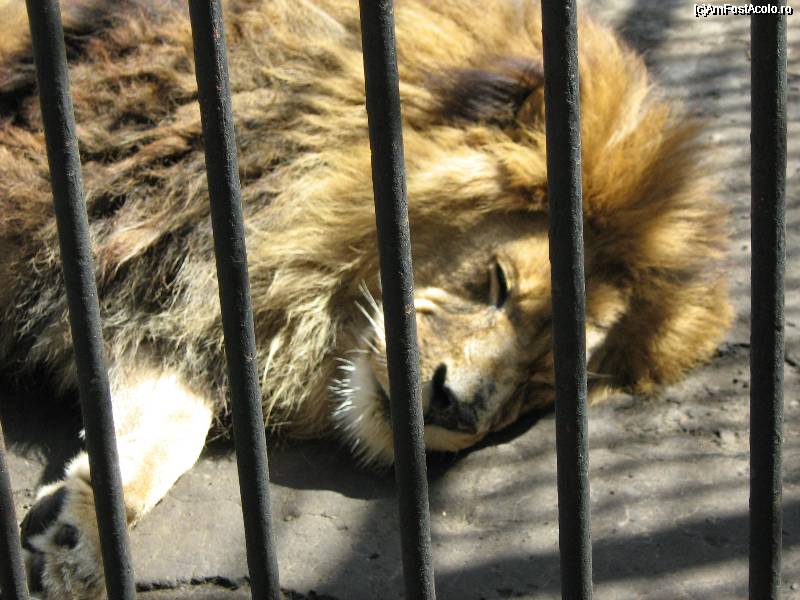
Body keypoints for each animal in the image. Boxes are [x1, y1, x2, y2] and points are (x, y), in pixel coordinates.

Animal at [0, 0, 731, 597]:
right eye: (496, 282)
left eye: (541, 384)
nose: (457, 408)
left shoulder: (167, 302)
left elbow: (172, 422)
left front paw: (83, 528)